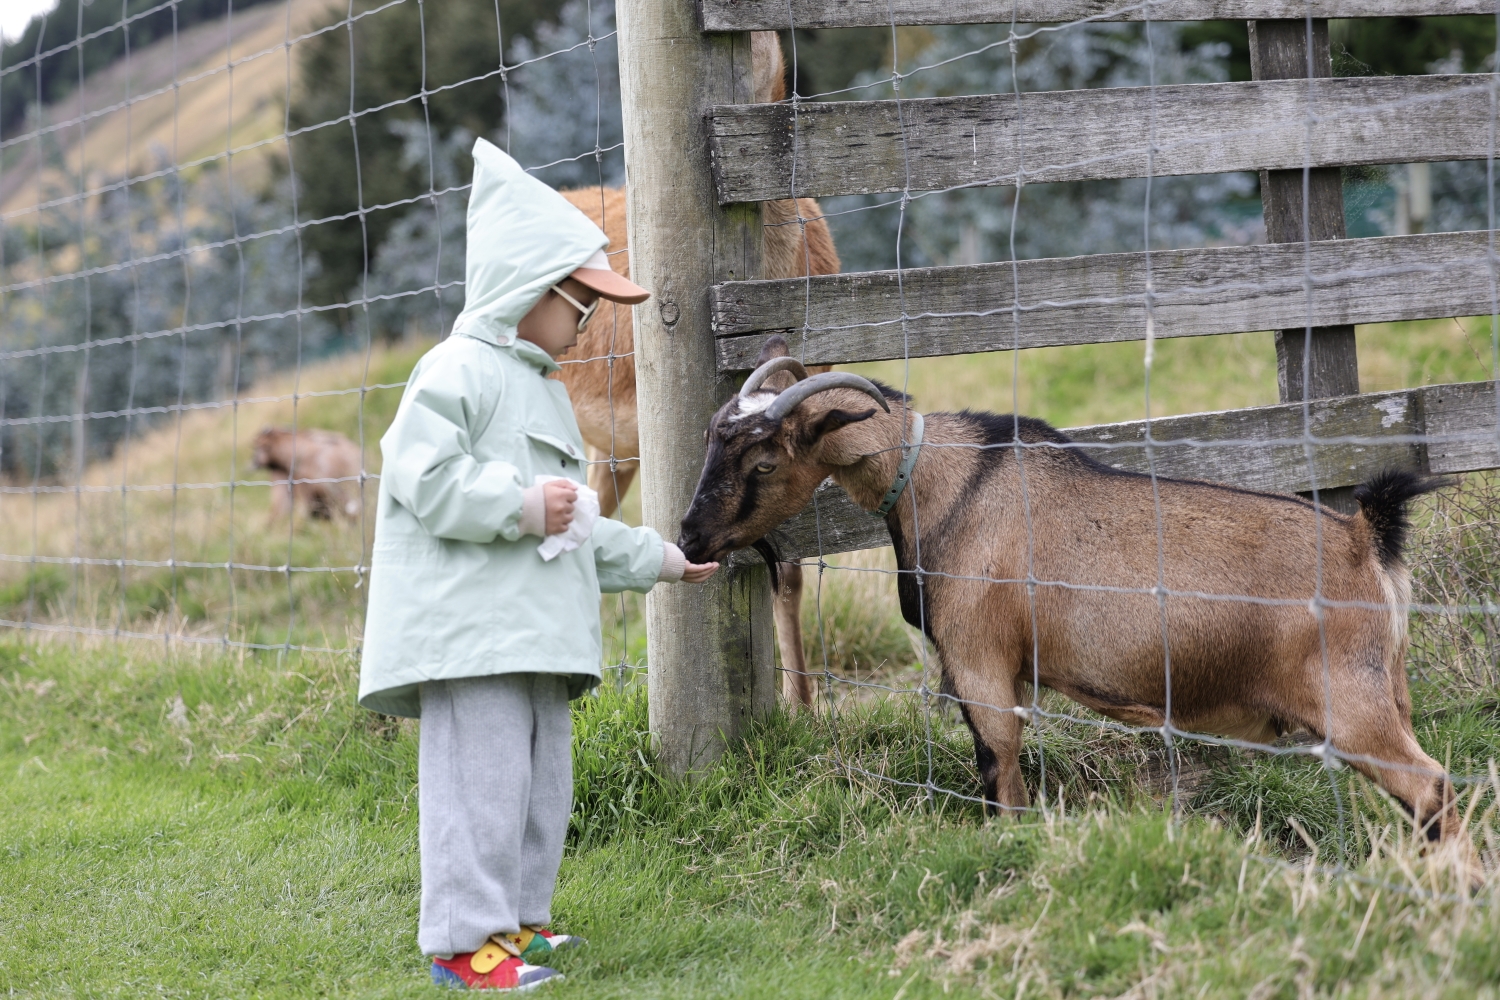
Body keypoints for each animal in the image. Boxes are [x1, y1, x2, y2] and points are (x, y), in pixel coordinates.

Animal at [678, 338, 1464, 851]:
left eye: (764, 459)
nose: (689, 537)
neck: (945, 483)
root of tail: (1365, 538)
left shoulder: (980, 662)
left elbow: (1001, 774)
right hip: (1388, 689)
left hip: (1350, 701)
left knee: (1430, 786)